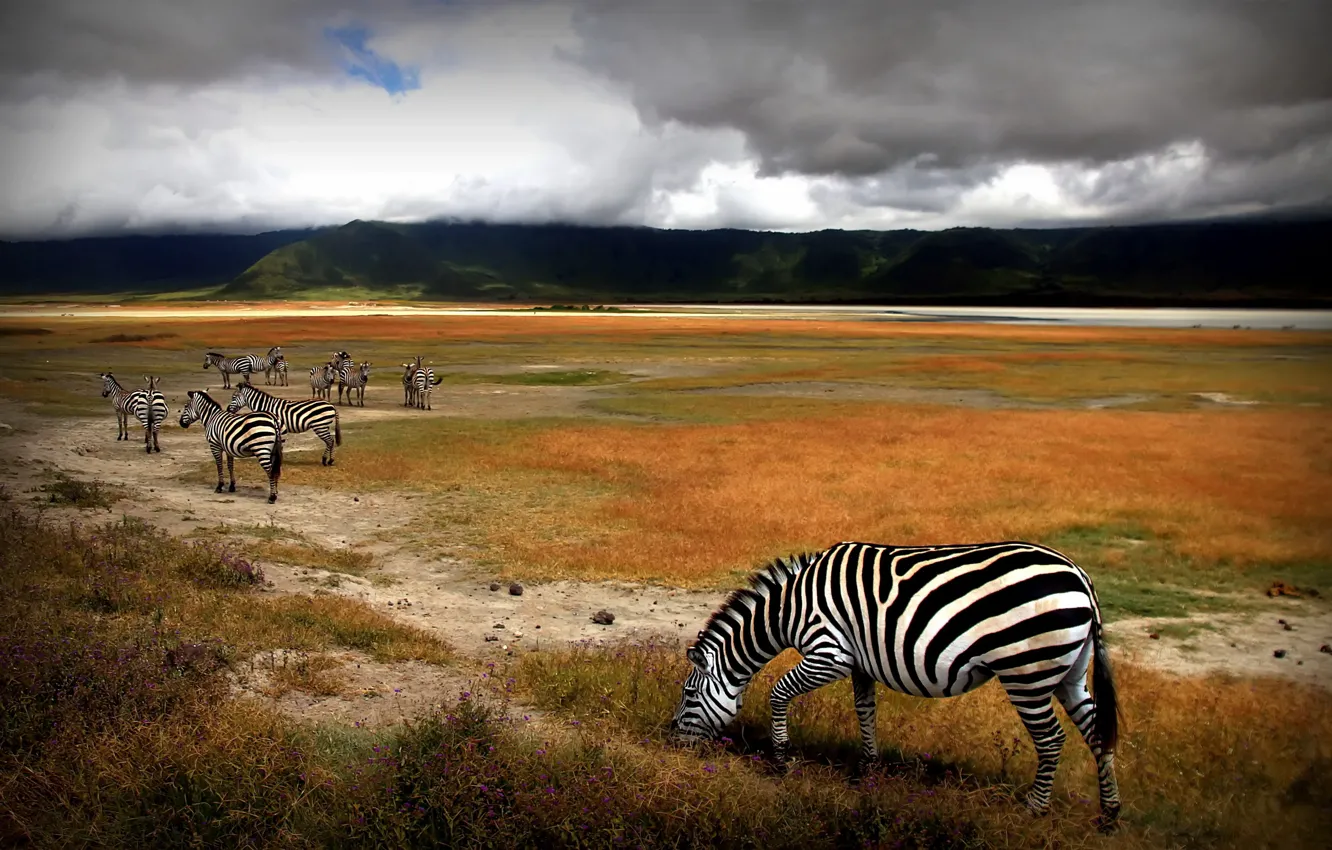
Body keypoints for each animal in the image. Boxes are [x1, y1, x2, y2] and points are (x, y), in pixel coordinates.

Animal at [669, 540, 1123, 832]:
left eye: (689, 695)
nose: (672, 743)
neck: (788, 610)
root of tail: (1081, 578)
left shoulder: (830, 653)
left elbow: (779, 692)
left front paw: (781, 760)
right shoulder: (860, 661)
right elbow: (865, 710)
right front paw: (867, 769)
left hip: (1027, 671)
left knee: (1051, 740)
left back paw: (1034, 810)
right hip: (1069, 673)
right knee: (1097, 734)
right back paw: (1110, 815)